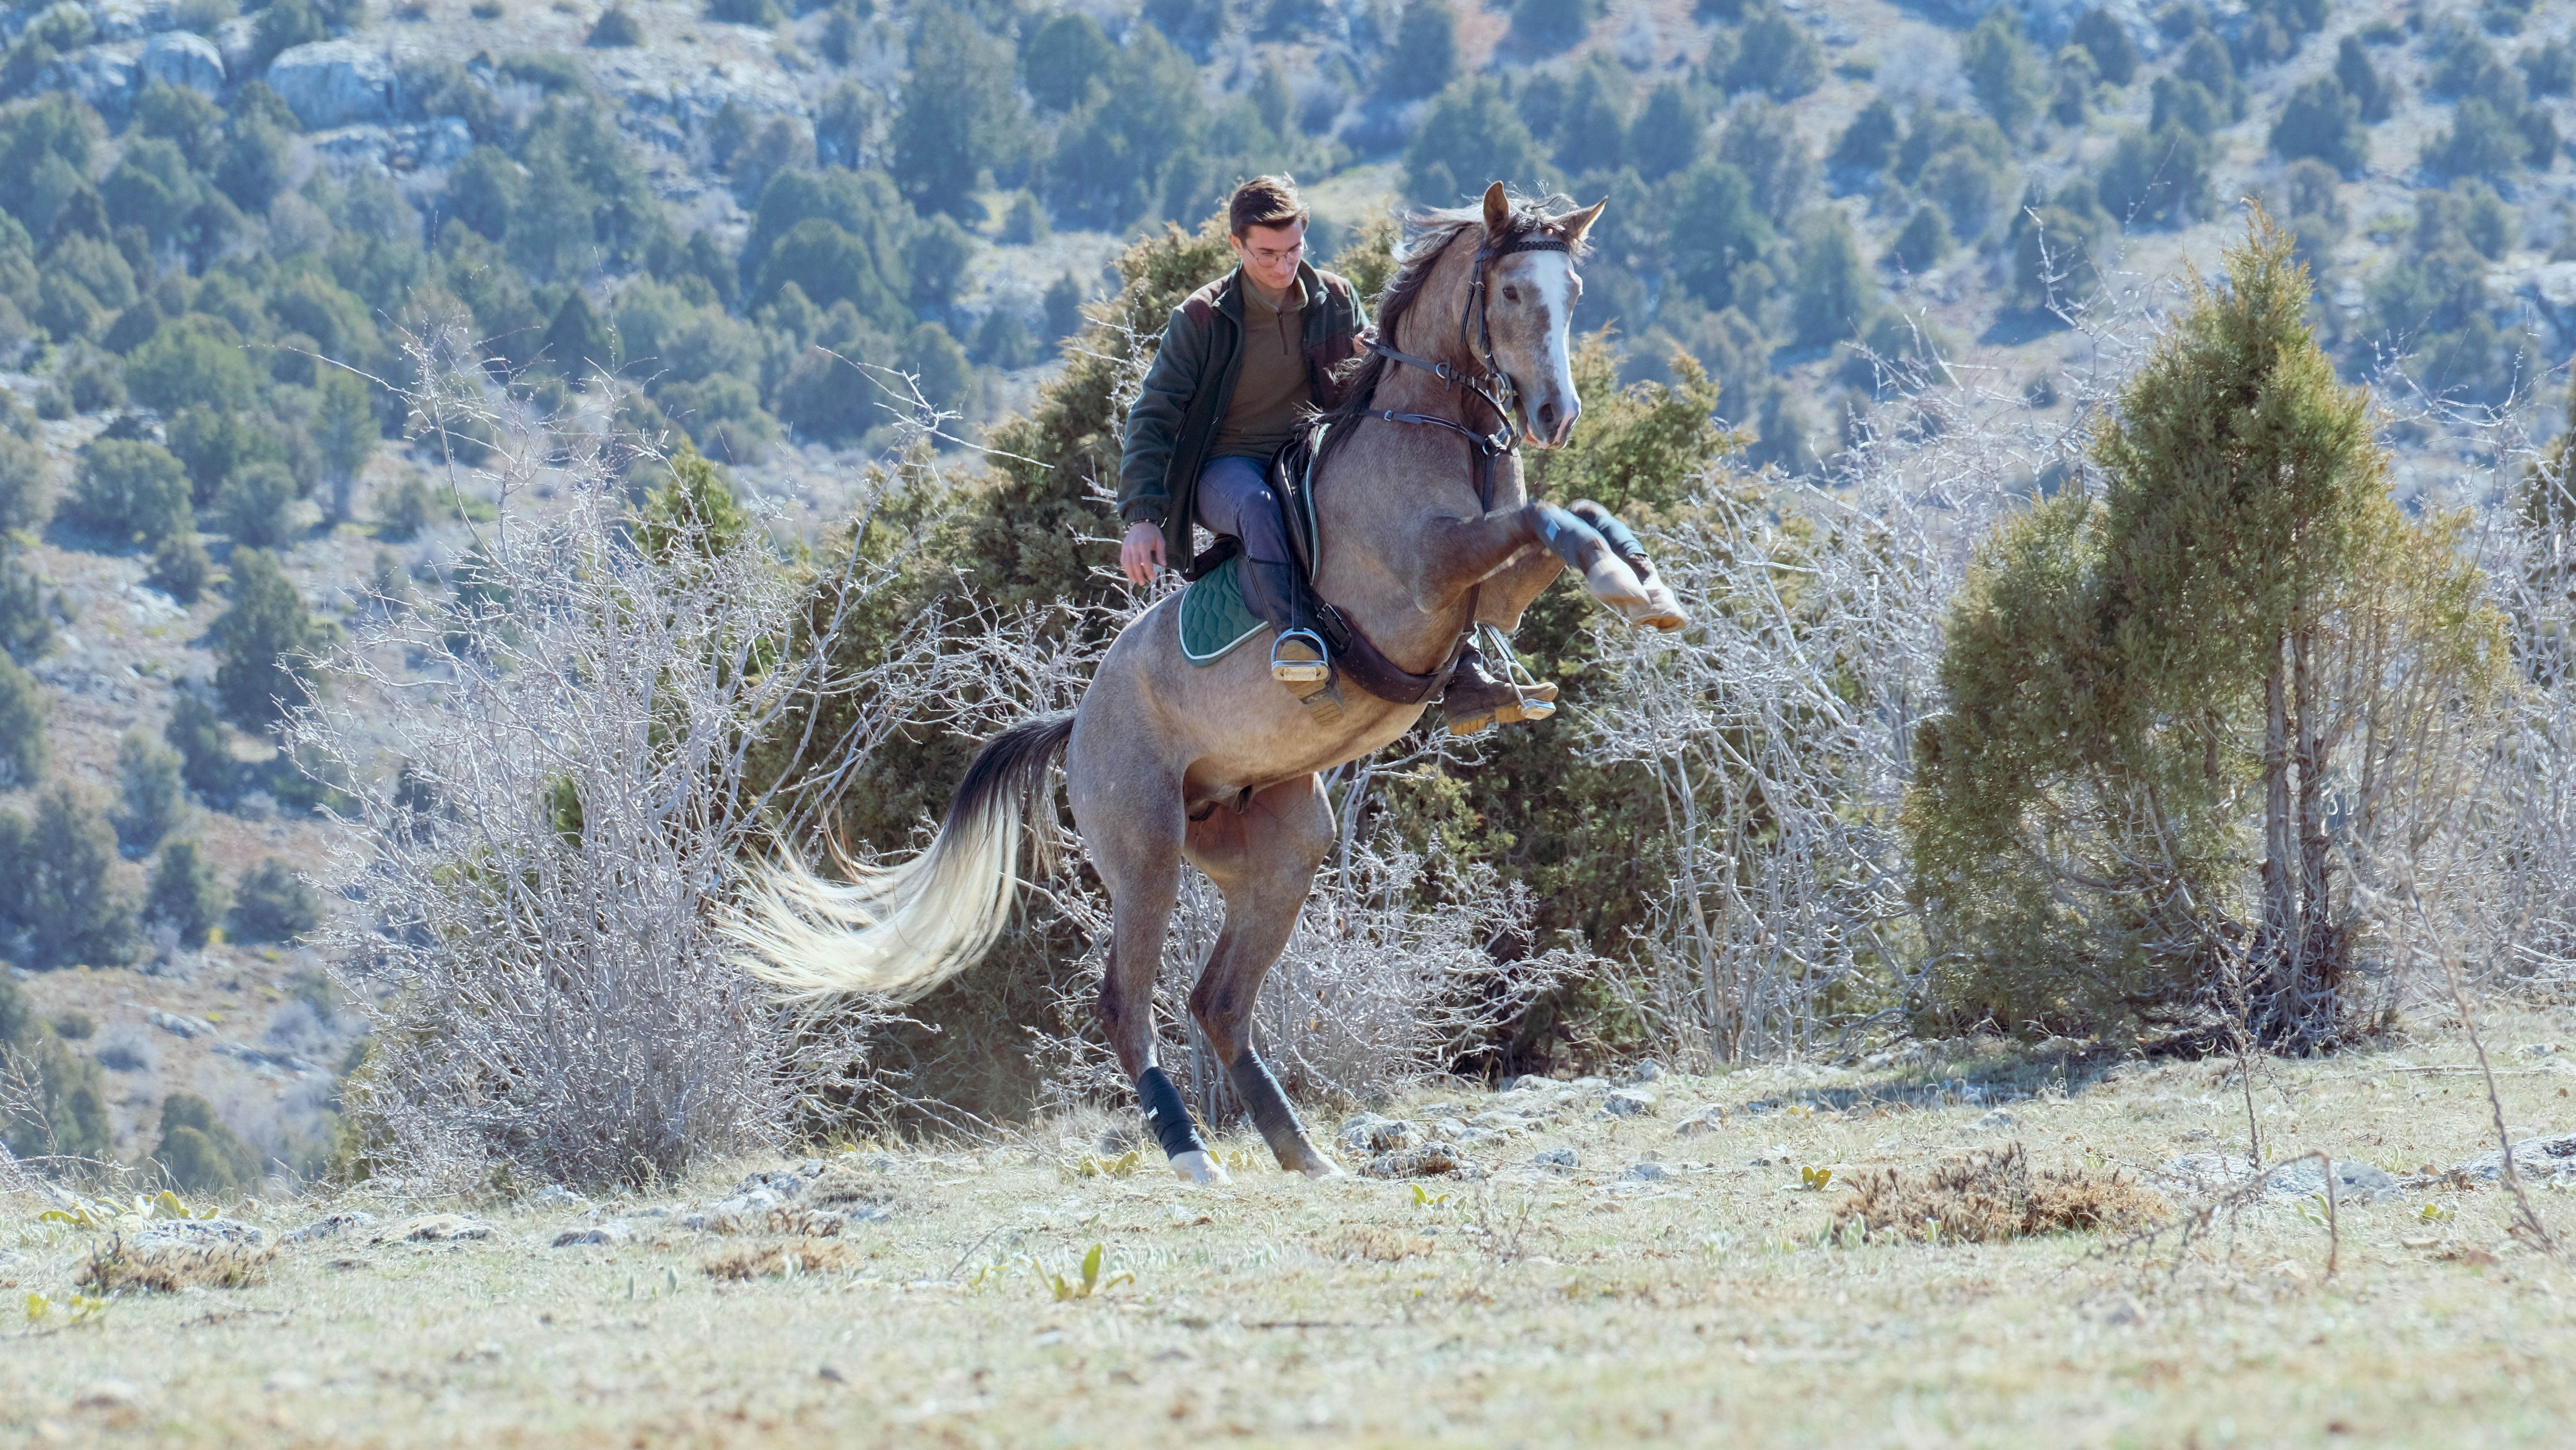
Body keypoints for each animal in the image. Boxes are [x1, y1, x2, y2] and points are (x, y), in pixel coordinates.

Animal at [726, 185, 1687, 1183]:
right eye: (1508, 292)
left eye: (1572, 292)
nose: (1554, 414)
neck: (1435, 427)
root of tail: (1077, 722)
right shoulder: (1432, 570)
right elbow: (1546, 519)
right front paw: (1627, 587)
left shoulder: (1492, 591)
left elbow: (1568, 515)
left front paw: (1643, 583)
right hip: (1146, 849)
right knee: (1128, 1001)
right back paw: (1191, 1152)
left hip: (1281, 849)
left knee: (1218, 1001)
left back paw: (1304, 1153)